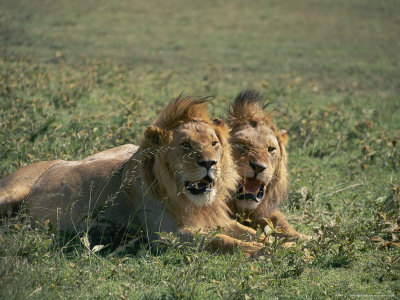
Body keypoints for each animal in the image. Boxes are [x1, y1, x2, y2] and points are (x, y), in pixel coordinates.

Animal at [1, 97, 268, 256]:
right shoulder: (166, 235)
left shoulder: (217, 220)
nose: (210, 163)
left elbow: (250, 230)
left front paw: (275, 243)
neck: (191, 203)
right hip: (10, 190)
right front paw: (258, 250)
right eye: (186, 145)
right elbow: (218, 240)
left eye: (214, 144)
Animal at [227, 89, 308, 239]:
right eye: (241, 145)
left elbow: (283, 224)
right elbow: (244, 230)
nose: (258, 167)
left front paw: (306, 238)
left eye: (271, 149)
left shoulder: (265, 211)